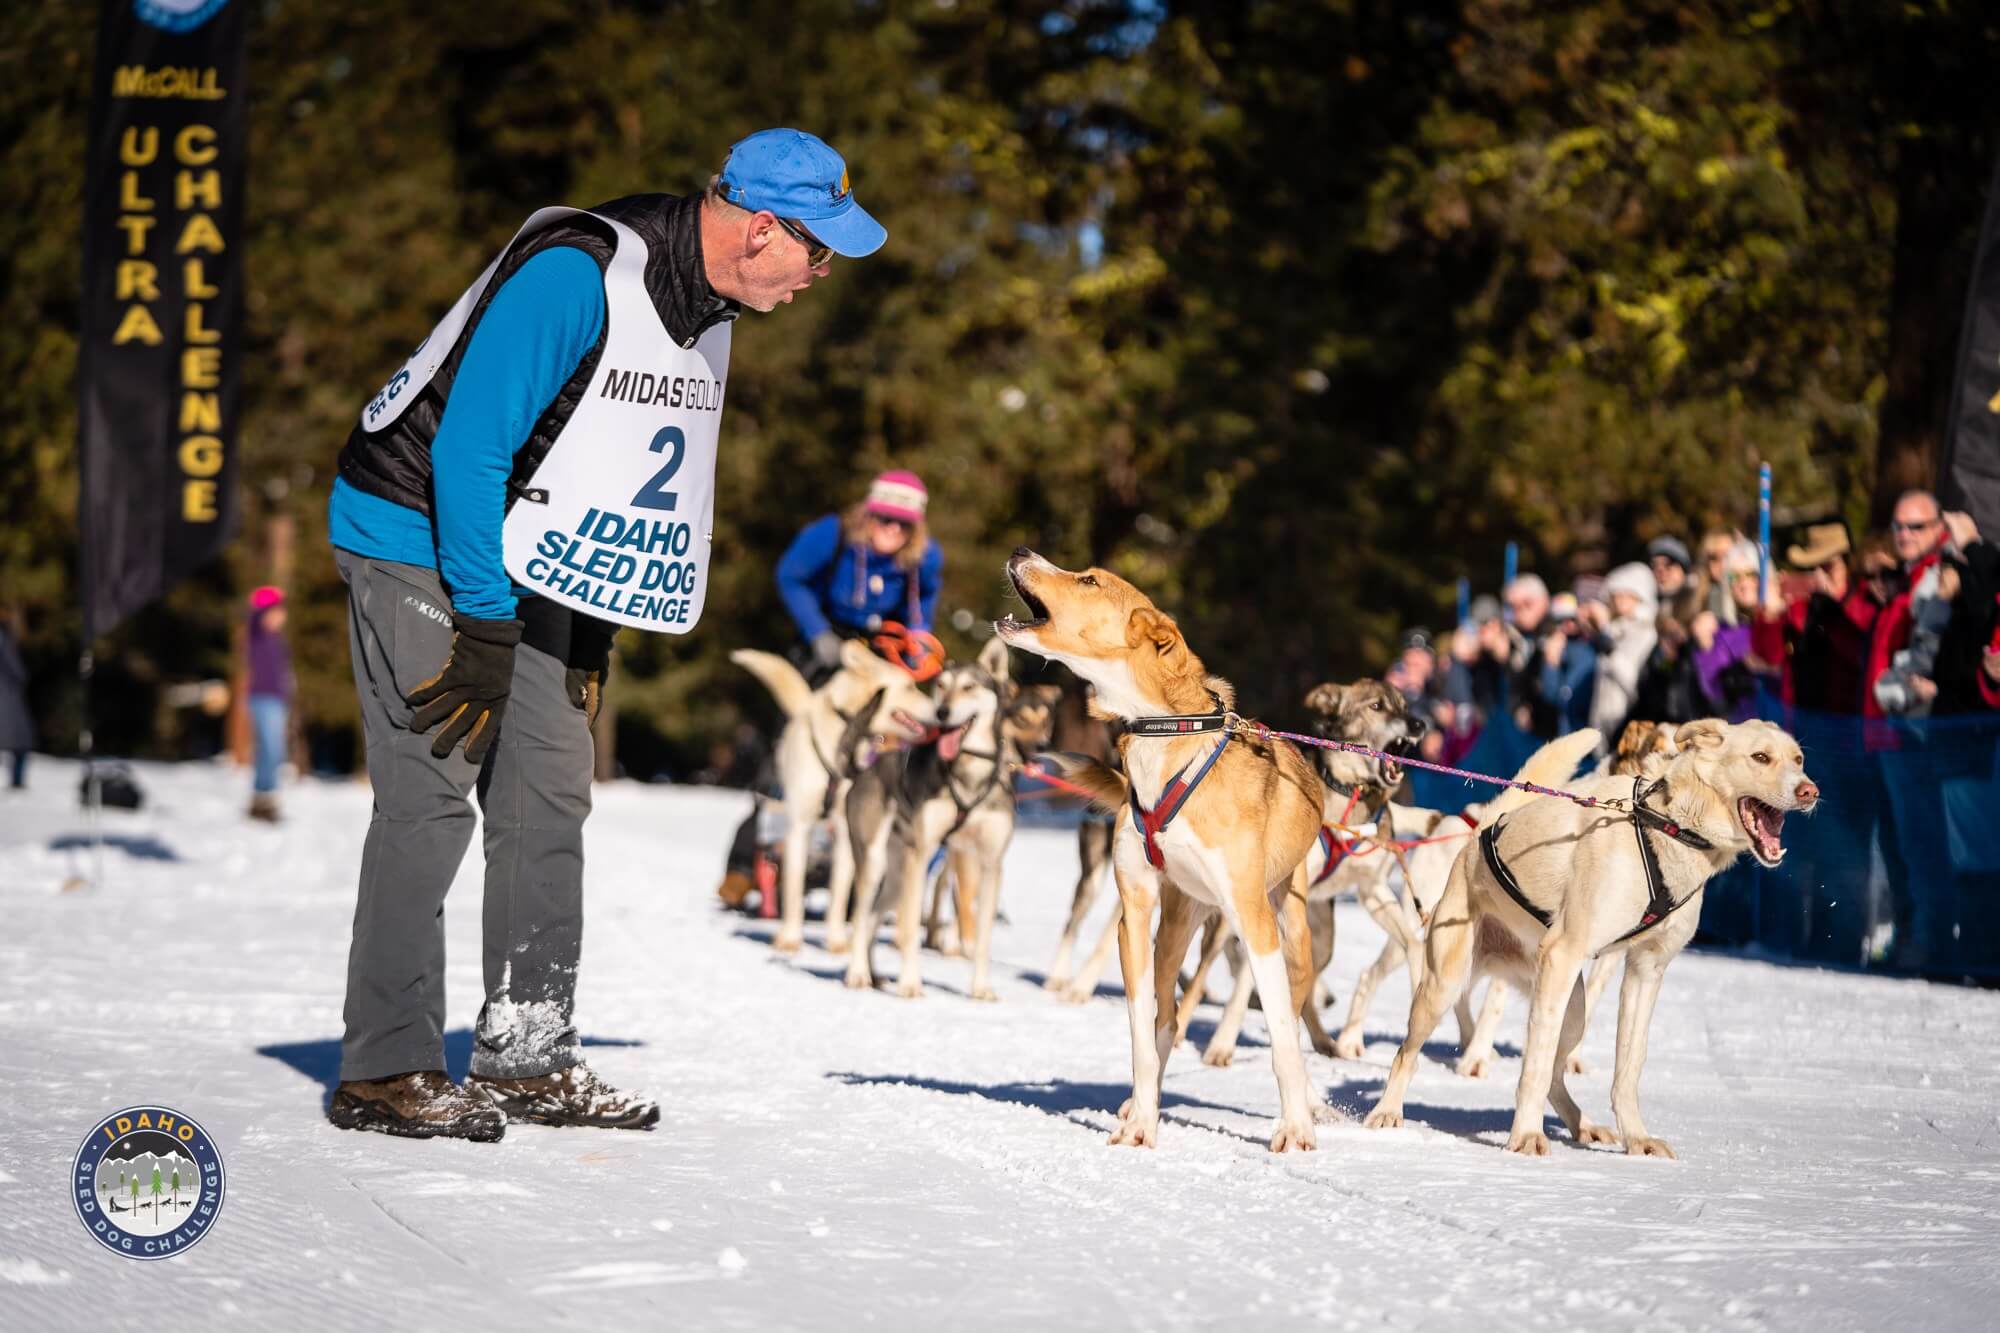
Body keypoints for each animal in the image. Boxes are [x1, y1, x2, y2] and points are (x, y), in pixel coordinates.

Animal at [728, 644, 936, 956]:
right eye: (910, 687)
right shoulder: (798, 826)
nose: (940, 709)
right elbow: (794, 889)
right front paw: (790, 938)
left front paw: (837, 940)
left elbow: (838, 893)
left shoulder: (844, 831)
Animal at [996, 544, 1336, 1144]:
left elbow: (1280, 1035)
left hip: (1289, 928)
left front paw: (1295, 1128)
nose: (1020, 550)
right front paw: (1142, 1119)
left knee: (1291, 1015)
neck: (1170, 733)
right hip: (1175, 924)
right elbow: (1142, 1030)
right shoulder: (1135, 911)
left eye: (1089, 580)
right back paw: (1141, 1105)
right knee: (1168, 1017)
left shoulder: (1254, 921)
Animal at [1376, 716, 1816, 1152]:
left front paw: (1636, 1137)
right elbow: (1534, 1066)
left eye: (1798, 759)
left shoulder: (1646, 970)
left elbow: (1629, 1064)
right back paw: (1387, 1112)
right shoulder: (1564, 954)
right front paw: (1526, 1136)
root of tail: (1477, 834)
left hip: (1573, 1012)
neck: (1668, 827)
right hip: (1447, 985)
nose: (1810, 791)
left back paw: (1583, 1124)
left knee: (1557, 1074)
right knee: (1407, 1054)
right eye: (1761, 757)